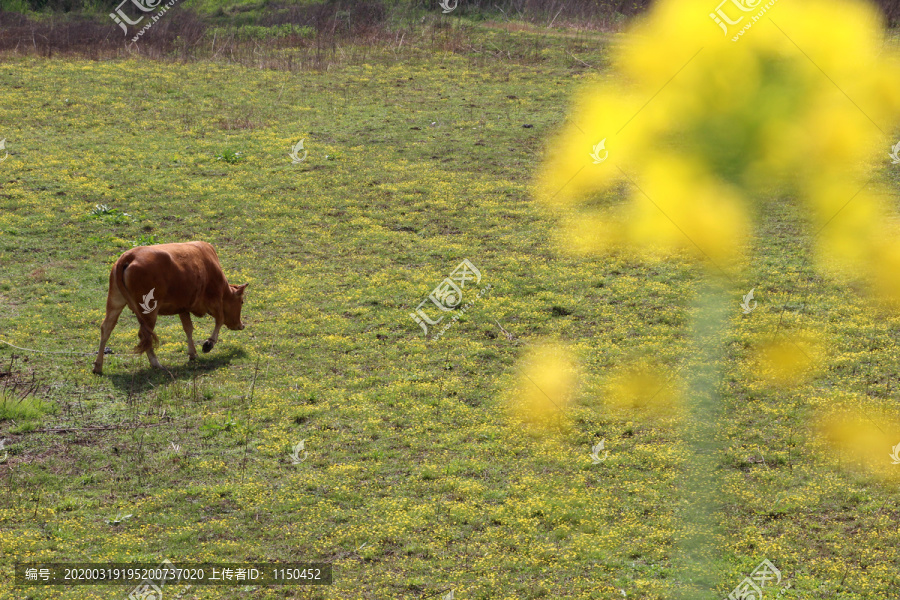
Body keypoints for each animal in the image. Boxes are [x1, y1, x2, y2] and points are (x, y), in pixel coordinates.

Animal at [92, 240, 248, 376]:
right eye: (241, 302)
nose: (242, 325)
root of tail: (129, 256)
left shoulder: (183, 307)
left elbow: (188, 328)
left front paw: (192, 353)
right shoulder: (215, 300)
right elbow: (219, 320)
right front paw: (208, 344)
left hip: (115, 302)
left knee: (106, 328)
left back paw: (98, 366)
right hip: (149, 312)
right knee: (144, 335)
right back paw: (156, 363)